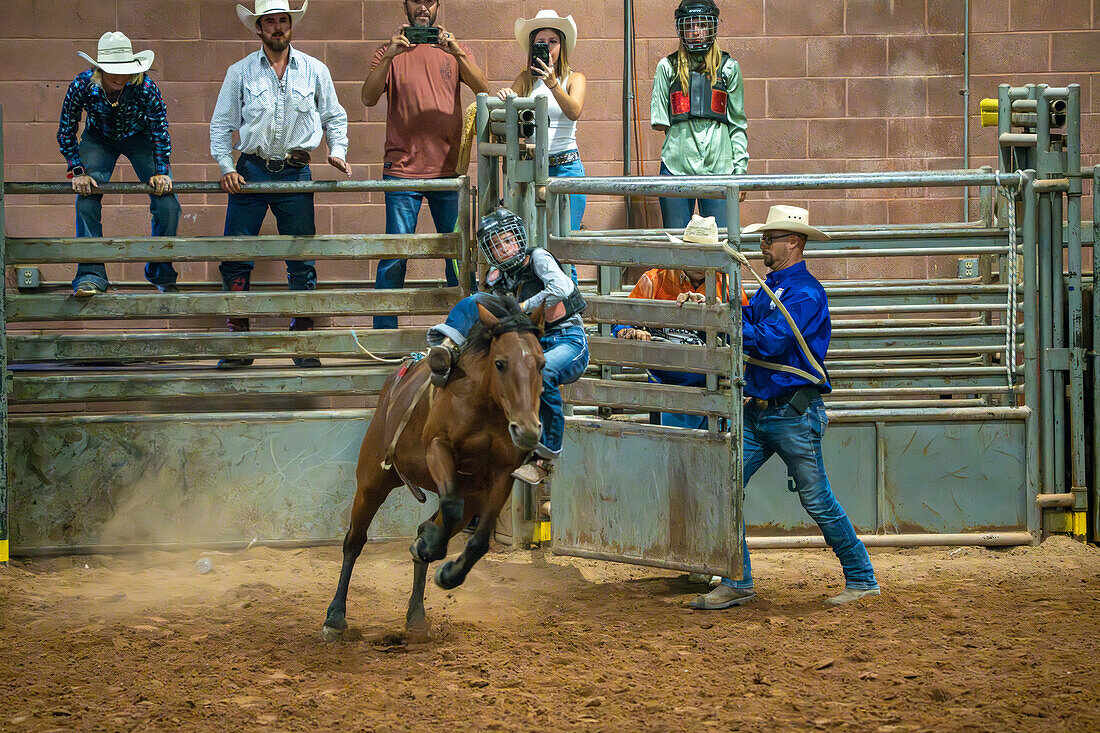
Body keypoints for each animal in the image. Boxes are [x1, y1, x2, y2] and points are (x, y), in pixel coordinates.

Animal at [321, 294, 545, 638]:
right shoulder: (438, 448)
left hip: (473, 496)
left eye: (542, 364)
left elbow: (479, 540)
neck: (484, 404)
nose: (528, 430)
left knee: (441, 524)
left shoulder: (501, 476)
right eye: (500, 363)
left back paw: (416, 612)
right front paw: (428, 544)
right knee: (354, 541)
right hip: (372, 480)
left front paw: (446, 570)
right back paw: (335, 616)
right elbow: (449, 506)